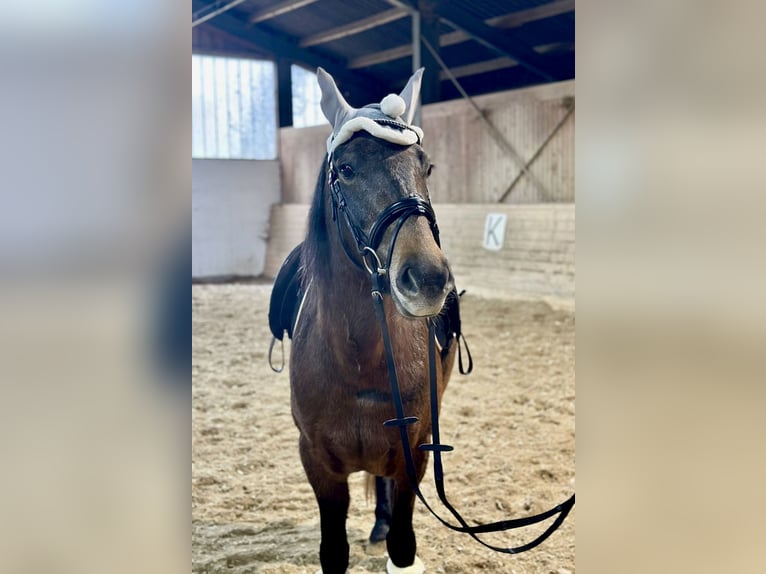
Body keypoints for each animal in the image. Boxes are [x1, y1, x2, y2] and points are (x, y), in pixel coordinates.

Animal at [286, 68, 456, 574]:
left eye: (427, 166)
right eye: (346, 169)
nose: (427, 279)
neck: (357, 359)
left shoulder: (413, 455)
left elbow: (403, 546)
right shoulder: (318, 465)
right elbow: (333, 552)